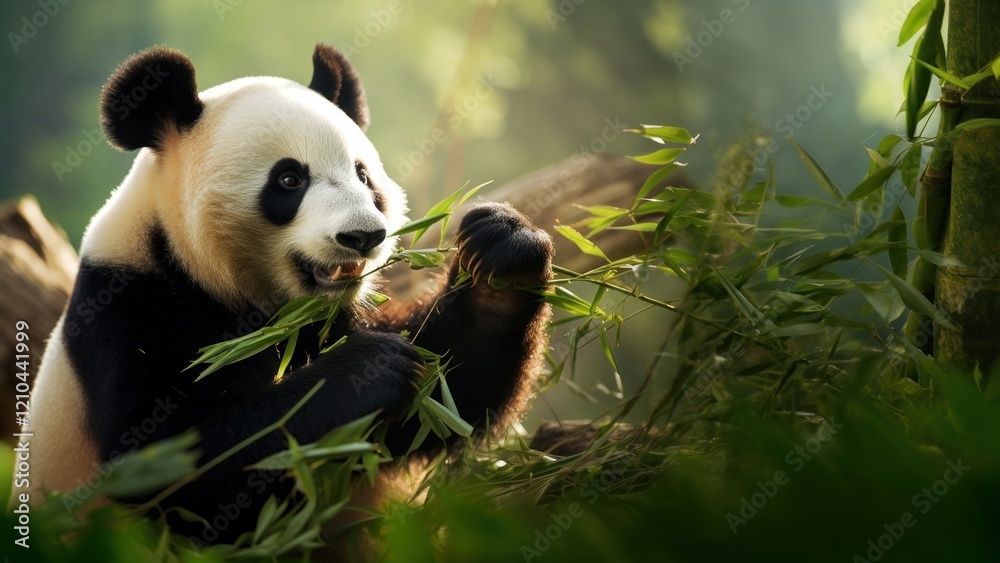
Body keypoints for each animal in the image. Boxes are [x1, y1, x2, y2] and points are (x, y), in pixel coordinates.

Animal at [24, 44, 552, 549]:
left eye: (363, 176)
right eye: (289, 180)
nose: (362, 236)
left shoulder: (329, 321)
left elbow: (448, 392)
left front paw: (502, 248)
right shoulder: (129, 310)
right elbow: (168, 462)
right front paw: (368, 370)